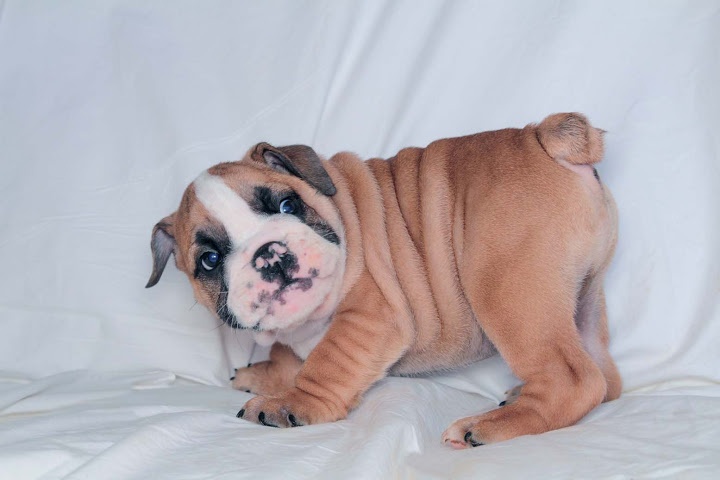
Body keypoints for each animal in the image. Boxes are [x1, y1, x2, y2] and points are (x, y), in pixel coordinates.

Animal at [145, 113, 620, 450]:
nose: (270, 253)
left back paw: (490, 426)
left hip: (507, 290)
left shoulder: (369, 316)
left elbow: (326, 364)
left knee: (574, 379)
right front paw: (267, 374)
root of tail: (541, 137)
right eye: (209, 260)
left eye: (287, 205)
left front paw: (294, 403)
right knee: (603, 378)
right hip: (583, 297)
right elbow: (288, 355)